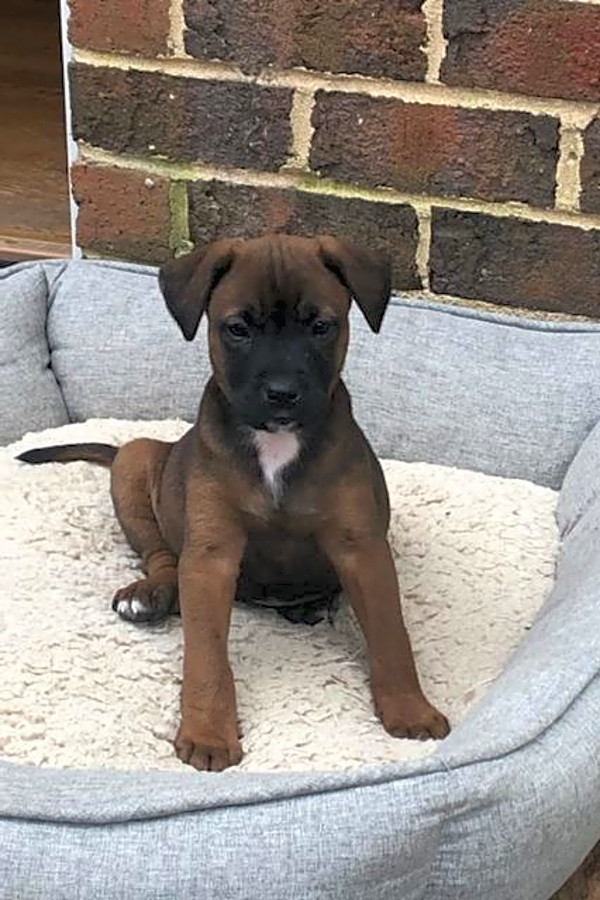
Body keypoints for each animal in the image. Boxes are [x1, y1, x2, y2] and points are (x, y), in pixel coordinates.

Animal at [17, 236, 450, 768]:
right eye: (238, 329)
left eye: (321, 327)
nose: (283, 394)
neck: (276, 446)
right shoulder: (211, 555)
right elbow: (205, 655)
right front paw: (208, 733)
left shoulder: (361, 550)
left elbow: (392, 635)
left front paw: (410, 709)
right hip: (135, 459)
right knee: (162, 557)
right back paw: (152, 595)